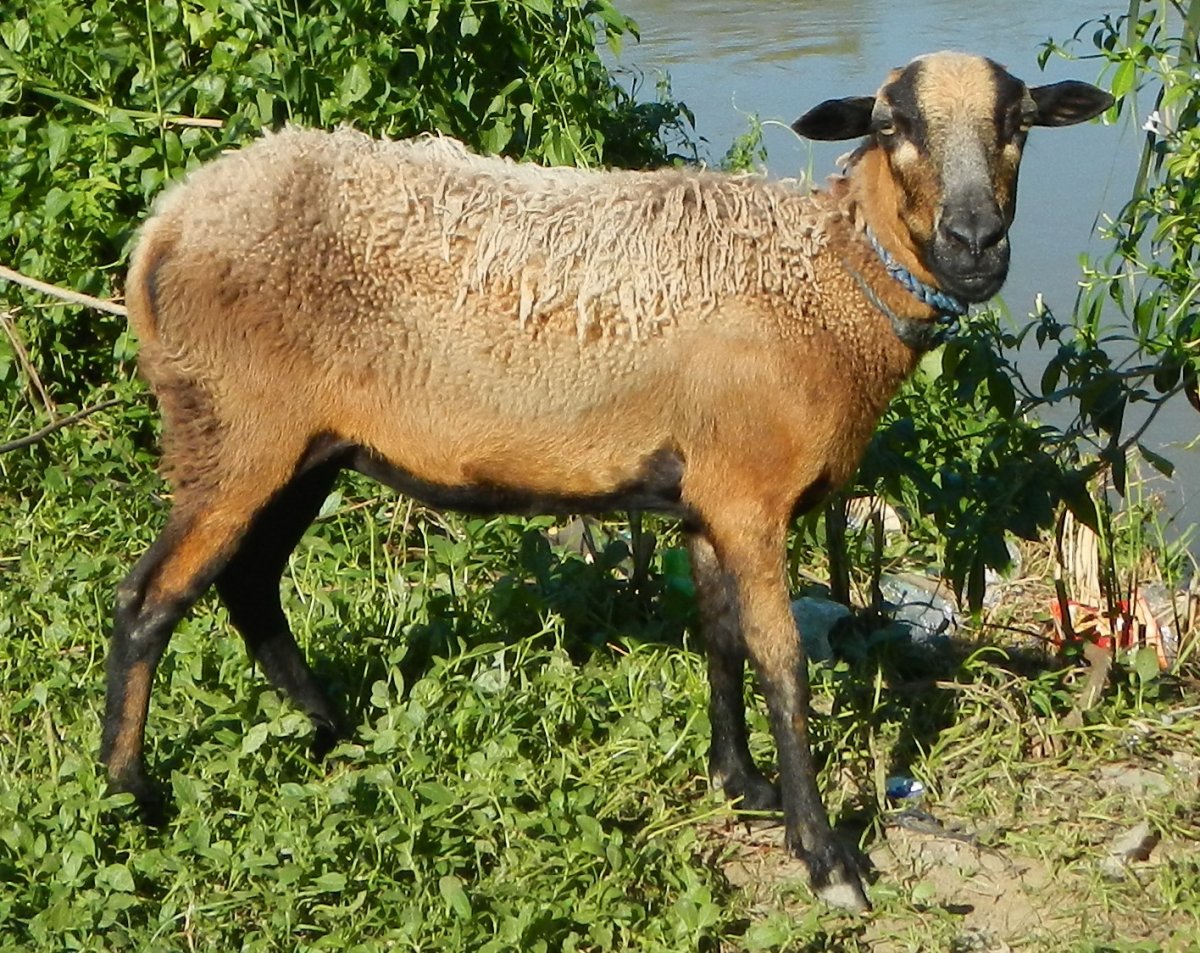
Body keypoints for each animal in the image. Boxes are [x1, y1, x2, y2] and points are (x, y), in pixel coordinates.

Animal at [104, 51, 1112, 910]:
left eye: (1019, 122)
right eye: (893, 123)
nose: (976, 243)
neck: (826, 286)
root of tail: (166, 224)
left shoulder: (710, 495)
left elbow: (720, 637)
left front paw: (739, 784)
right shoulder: (751, 497)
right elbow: (782, 662)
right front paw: (825, 856)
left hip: (306, 446)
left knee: (249, 581)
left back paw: (331, 730)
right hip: (234, 428)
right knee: (151, 598)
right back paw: (128, 798)